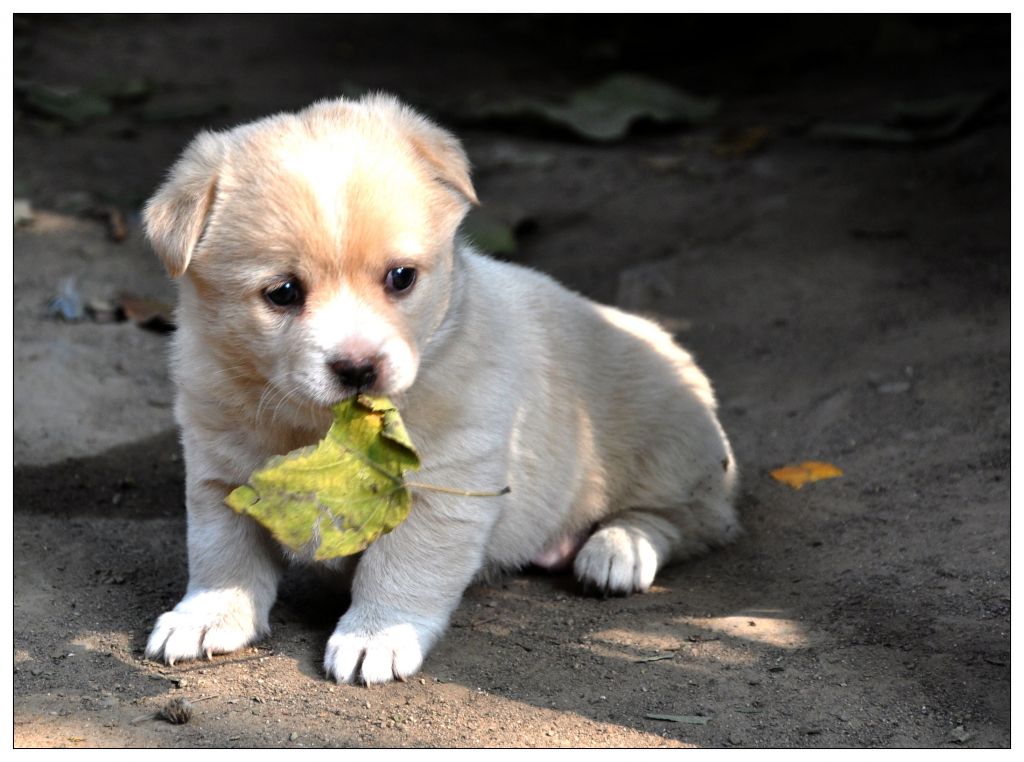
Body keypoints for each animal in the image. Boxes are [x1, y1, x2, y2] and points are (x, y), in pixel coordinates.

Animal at [142, 95, 737, 684]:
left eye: (401, 277)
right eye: (283, 292)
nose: (358, 368)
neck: (321, 426)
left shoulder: (445, 486)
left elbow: (402, 567)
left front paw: (376, 635)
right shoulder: (220, 471)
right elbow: (222, 555)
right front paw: (206, 615)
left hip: (669, 447)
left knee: (686, 518)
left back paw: (618, 551)